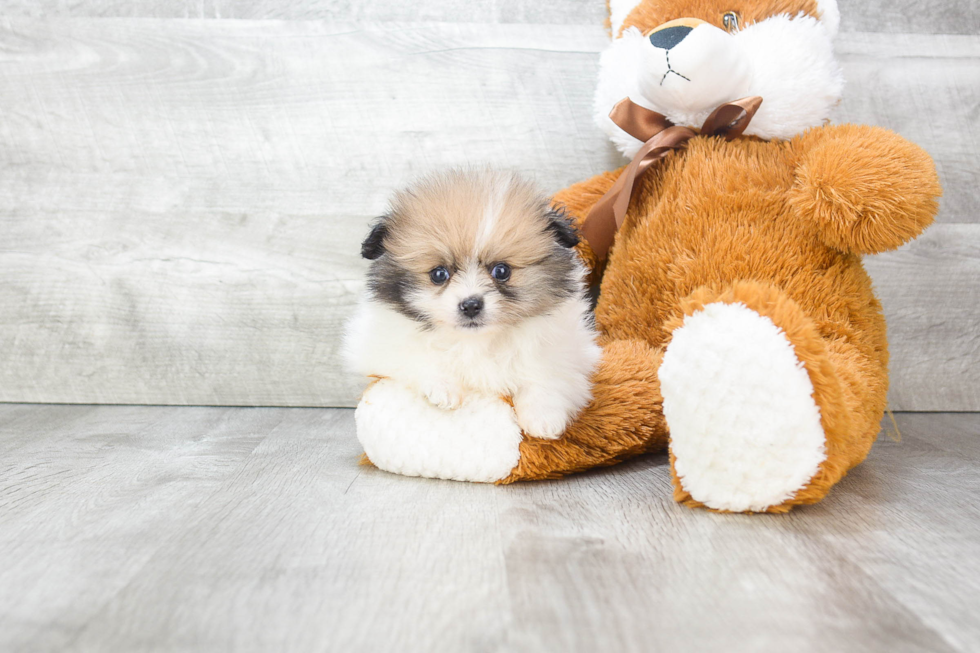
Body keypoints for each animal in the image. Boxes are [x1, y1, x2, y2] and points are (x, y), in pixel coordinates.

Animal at [344, 168, 604, 440]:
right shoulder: (377, 346)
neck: (476, 341)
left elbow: (548, 374)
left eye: (501, 271)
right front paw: (444, 389)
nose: (470, 305)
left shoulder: (573, 351)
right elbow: (417, 356)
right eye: (439, 274)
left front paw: (543, 418)